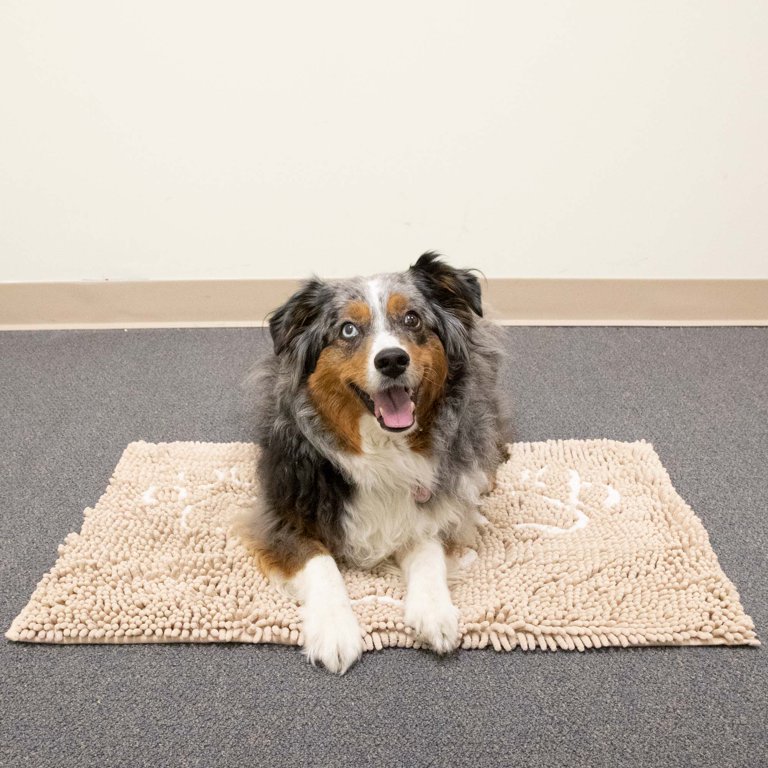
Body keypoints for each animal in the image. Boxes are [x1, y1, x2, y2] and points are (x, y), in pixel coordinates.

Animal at [243, 252, 508, 672]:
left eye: (412, 319)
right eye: (348, 330)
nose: (392, 360)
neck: (382, 451)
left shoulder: (428, 507)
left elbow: (429, 551)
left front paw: (435, 612)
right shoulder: (279, 515)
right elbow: (322, 565)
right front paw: (335, 632)